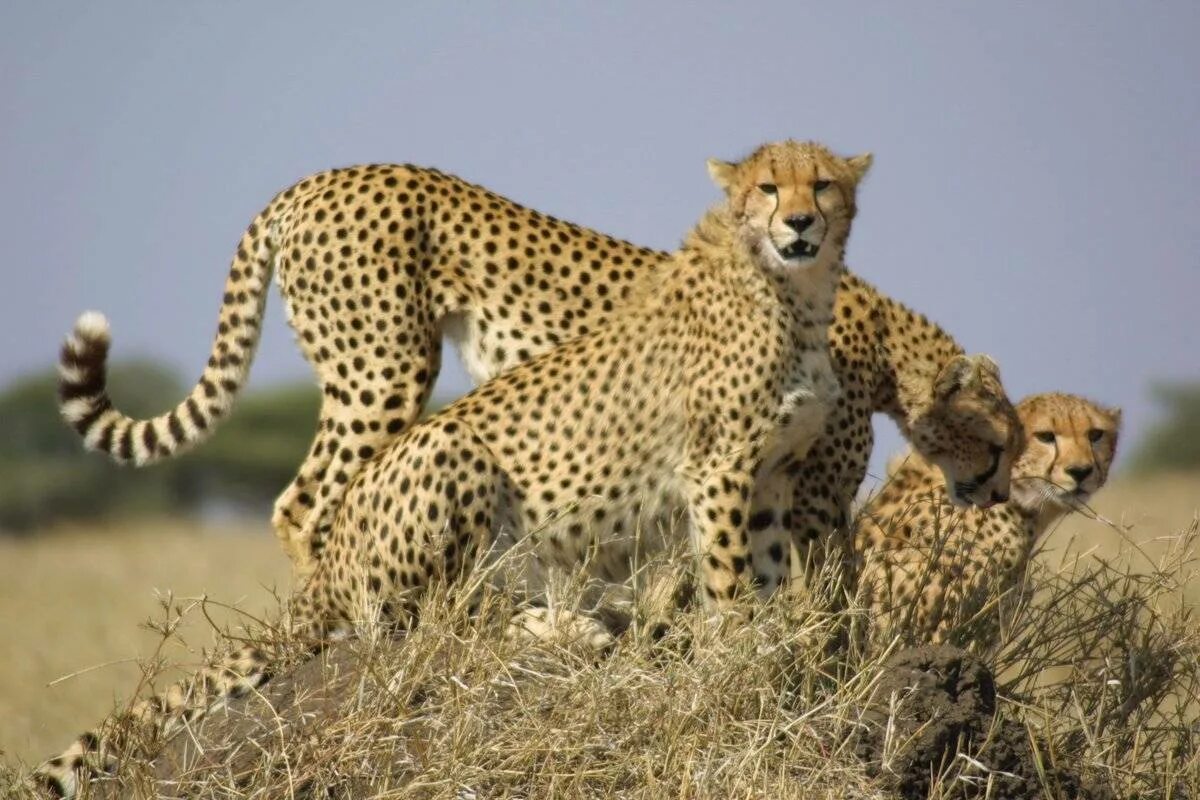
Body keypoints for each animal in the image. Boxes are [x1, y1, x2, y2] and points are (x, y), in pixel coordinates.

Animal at [32, 140, 868, 796]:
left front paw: (773, 656)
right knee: (388, 583)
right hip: (402, 387)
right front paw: (736, 660)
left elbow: (765, 581)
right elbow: (732, 582)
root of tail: (310, 182)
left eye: (822, 184)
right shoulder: (723, 468)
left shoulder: (771, 475)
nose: (800, 222)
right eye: (769, 187)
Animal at [54, 155, 1012, 585]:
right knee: (306, 503)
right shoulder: (797, 485)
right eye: (1002, 433)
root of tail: (314, 181)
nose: (999, 482)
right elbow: (821, 583)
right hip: (385, 369)